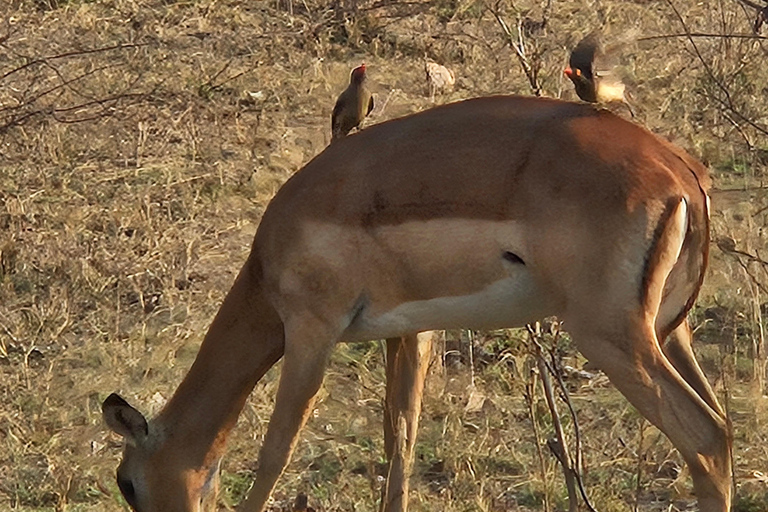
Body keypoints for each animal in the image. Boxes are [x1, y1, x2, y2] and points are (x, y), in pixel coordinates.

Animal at [102, 95, 732, 512]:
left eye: (127, 483)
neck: (270, 256)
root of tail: (681, 174)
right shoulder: (409, 333)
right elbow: (400, 439)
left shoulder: (310, 333)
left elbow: (276, 450)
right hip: (669, 331)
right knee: (722, 428)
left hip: (610, 336)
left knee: (704, 436)